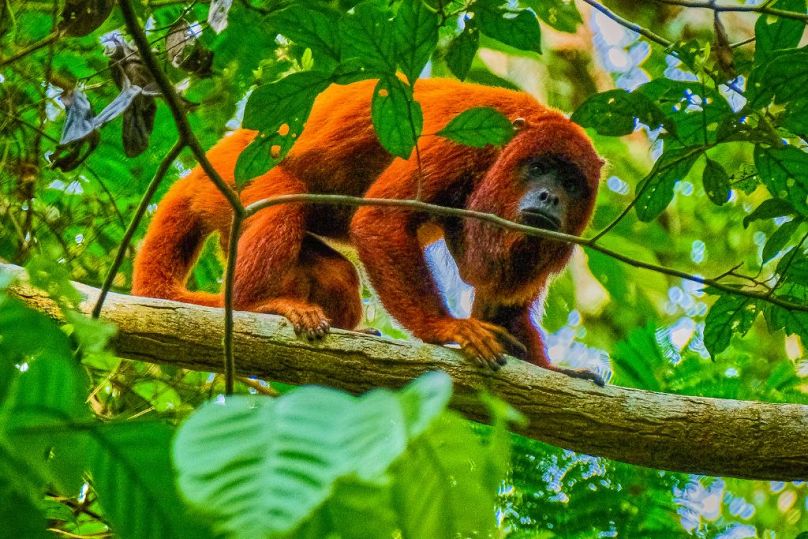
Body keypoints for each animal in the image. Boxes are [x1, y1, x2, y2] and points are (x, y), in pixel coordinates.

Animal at [133, 78, 604, 382]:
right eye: (538, 168)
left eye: (571, 183)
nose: (549, 197)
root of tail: (204, 164)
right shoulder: (462, 140)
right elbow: (379, 219)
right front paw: (444, 328)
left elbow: (500, 297)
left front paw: (553, 369)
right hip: (236, 178)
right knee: (284, 202)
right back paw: (256, 305)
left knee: (338, 272)